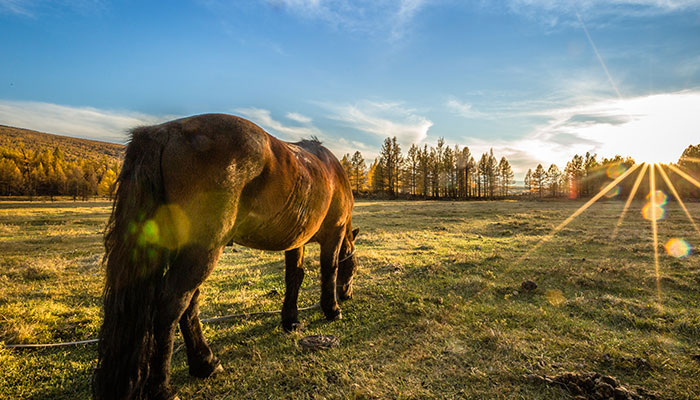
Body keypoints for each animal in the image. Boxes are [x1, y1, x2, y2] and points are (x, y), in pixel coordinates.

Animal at [91, 113, 360, 400]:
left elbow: (294, 278)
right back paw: (163, 387)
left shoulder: (295, 240)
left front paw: (291, 320)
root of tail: (164, 132)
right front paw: (332, 309)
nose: (347, 294)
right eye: (354, 269)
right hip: (204, 251)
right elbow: (329, 269)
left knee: (189, 303)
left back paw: (205, 363)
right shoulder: (333, 234)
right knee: (172, 304)